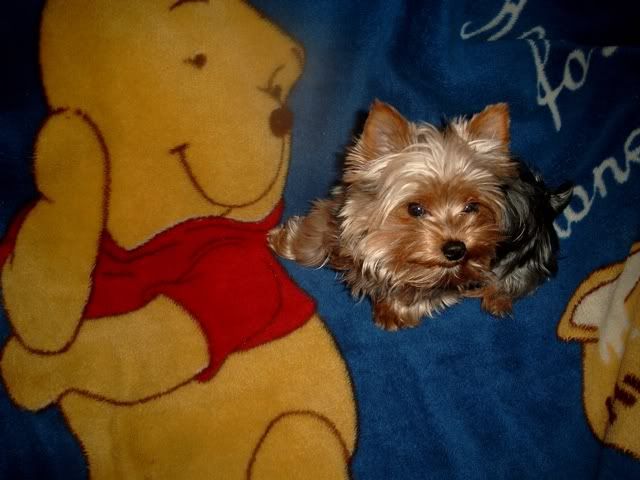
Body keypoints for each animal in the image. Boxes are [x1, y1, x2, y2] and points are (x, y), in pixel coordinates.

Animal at [269, 101, 572, 330]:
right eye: (415, 209)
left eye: (472, 206)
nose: (456, 249)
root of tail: (546, 200)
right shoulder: (340, 209)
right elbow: (317, 232)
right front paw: (285, 242)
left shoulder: (447, 279)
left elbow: (420, 294)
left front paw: (391, 312)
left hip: (526, 263)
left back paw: (496, 299)